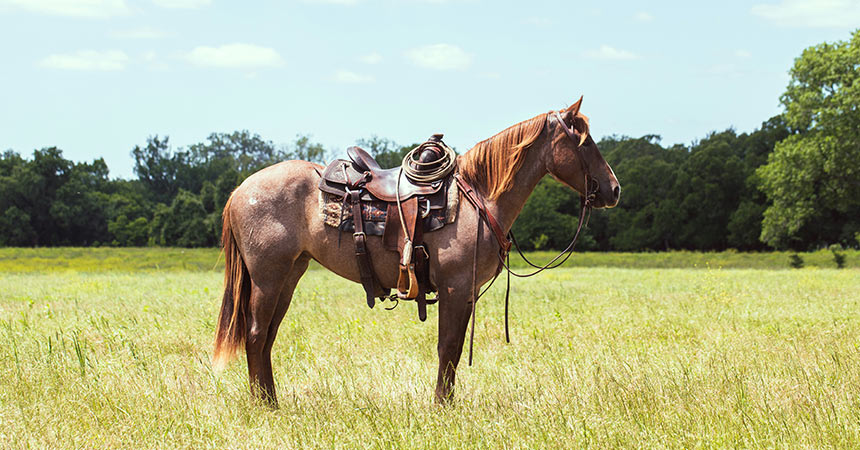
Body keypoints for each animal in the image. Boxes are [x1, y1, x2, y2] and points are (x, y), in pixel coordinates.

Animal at [212, 97, 620, 404]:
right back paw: (264, 406)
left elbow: (453, 349)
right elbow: (448, 349)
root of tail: (241, 189)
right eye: (585, 142)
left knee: (266, 338)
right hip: (267, 278)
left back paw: (271, 401)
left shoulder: (465, 292)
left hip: (289, 275)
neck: (479, 196)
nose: (613, 189)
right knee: (255, 334)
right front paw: (442, 407)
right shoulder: (455, 288)